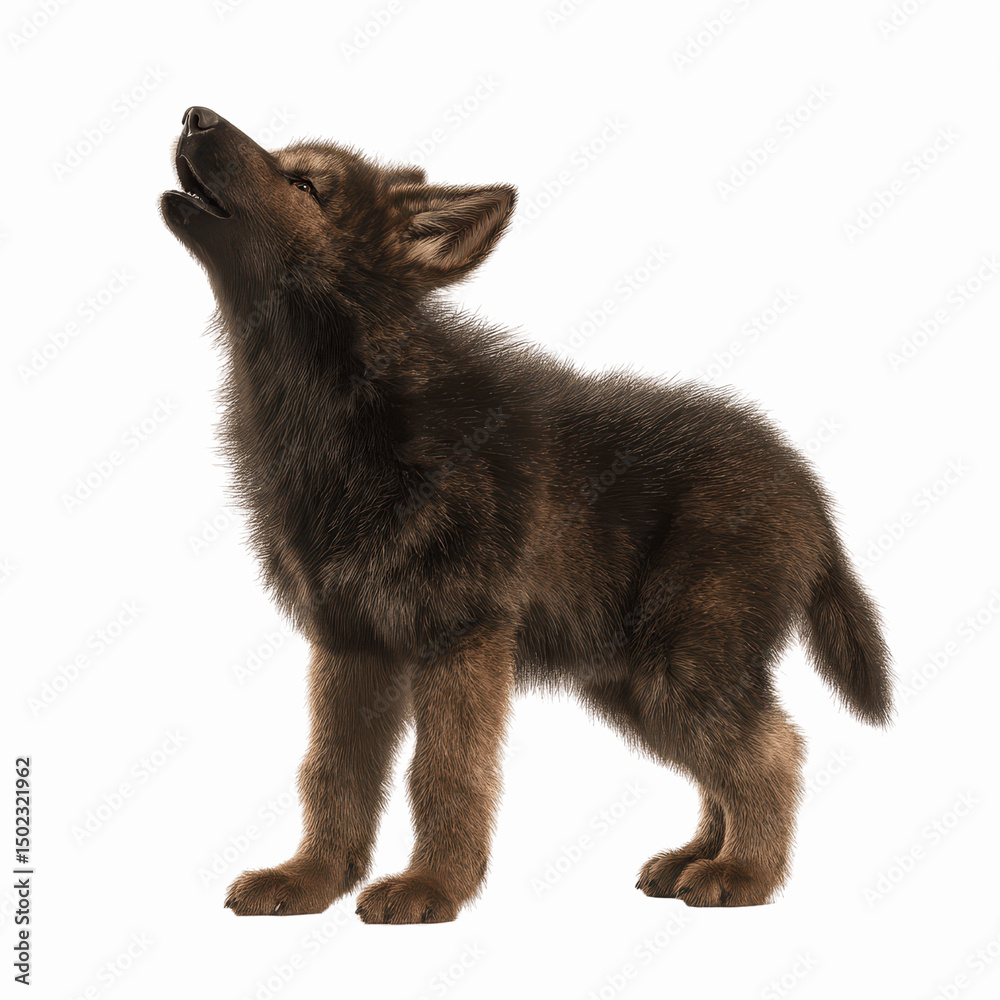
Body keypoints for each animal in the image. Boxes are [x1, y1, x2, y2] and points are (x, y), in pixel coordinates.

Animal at [161, 106, 892, 923]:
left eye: (305, 186)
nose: (194, 115)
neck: (342, 395)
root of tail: (810, 487)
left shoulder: (462, 637)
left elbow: (443, 775)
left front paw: (431, 888)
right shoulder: (351, 641)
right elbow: (333, 774)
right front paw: (310, 879)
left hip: (686, 663)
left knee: (770, 753)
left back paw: (743, 874)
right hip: (635, 679)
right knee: (726, 762)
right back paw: (694, 859)